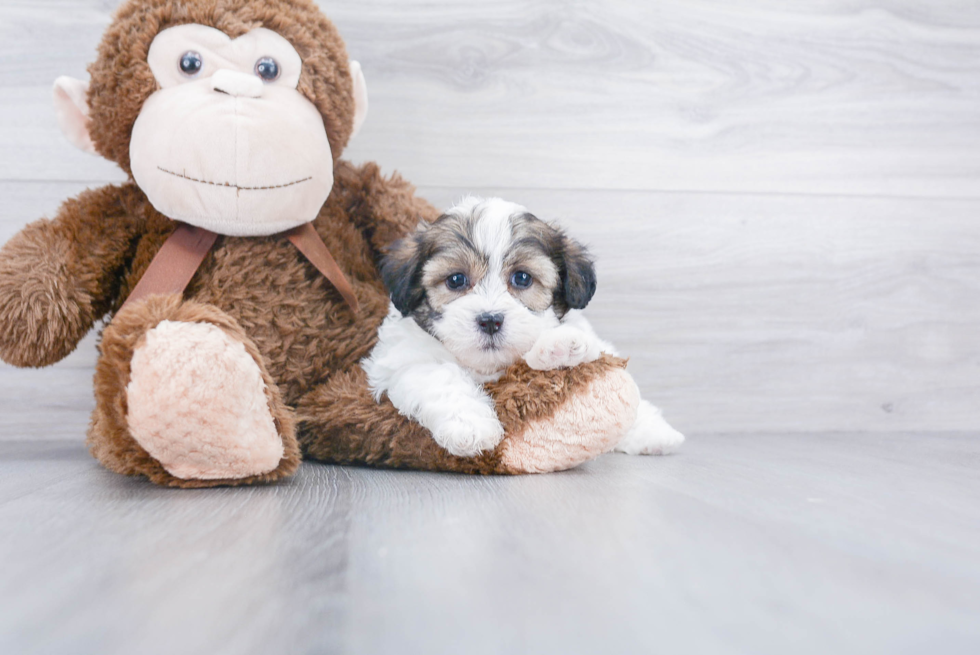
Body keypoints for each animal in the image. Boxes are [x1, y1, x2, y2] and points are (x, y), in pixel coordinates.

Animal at [360, 197, 680, 458]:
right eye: (455, 280)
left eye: (522, 278)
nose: (490, 320)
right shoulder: (400, 358)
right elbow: (439, 376)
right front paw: (471, 426)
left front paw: (561, 346)